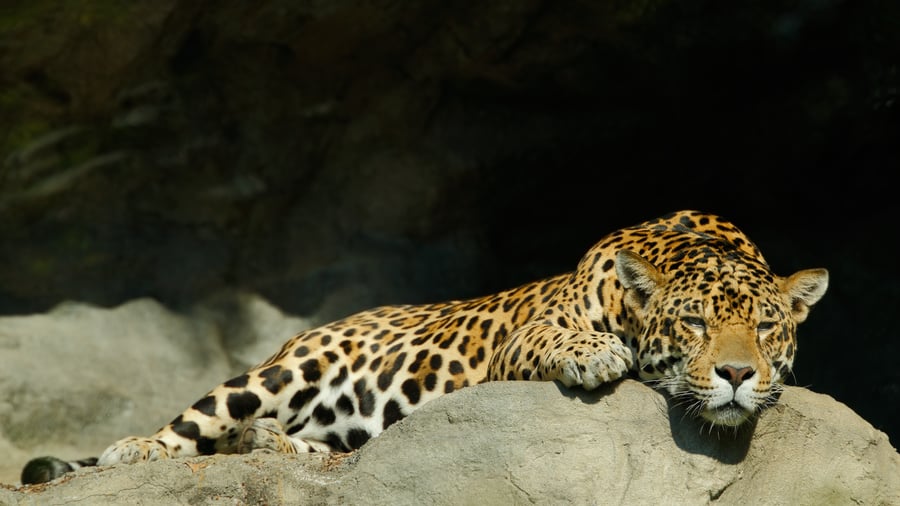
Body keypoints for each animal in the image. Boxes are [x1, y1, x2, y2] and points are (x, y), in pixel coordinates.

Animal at [21, 210, 829, 485]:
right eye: (692, 323)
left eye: (765, 328)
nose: (736, 372)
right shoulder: (522, 333)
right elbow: (557, 335)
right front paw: (596, 353)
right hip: (285, 367)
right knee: (196, 424)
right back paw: (137, 450)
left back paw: (273, 444)